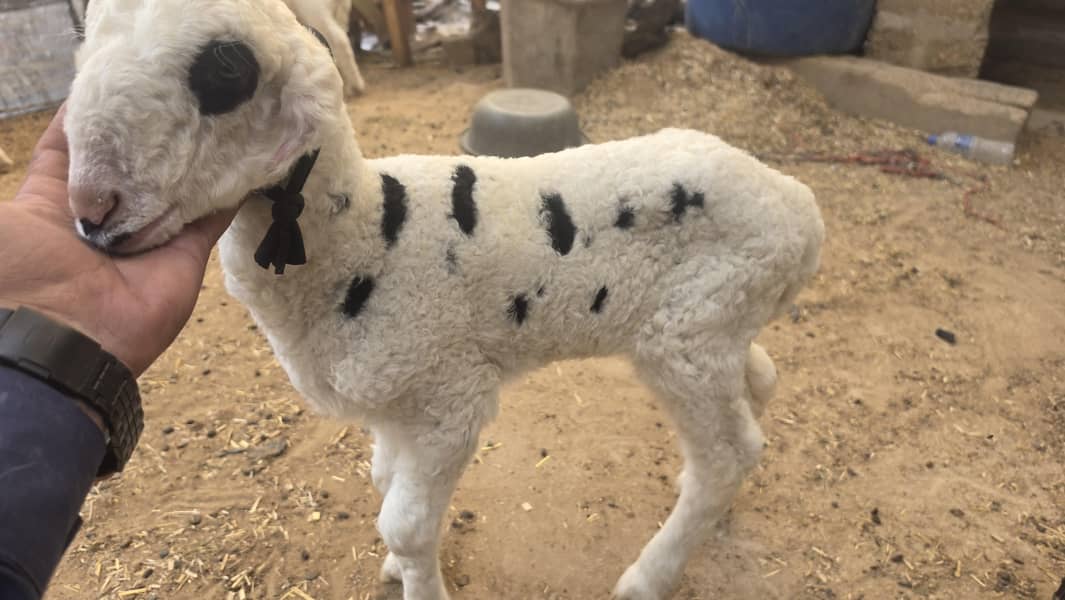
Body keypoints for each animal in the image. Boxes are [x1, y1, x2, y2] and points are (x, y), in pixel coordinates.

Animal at [63, 1, 824, 598]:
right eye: (87, 35)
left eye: (225, 69)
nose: (92, 211)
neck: (370, 237)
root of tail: (798, 207)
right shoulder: (394, 406)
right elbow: (383, 482)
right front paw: (398, 572)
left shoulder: (450, 398)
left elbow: (403, 524)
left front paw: (416, 581)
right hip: (712, 323)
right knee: (758, 384)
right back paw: (715, 517)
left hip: (687, 335)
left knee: (727, 453)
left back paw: (649, 574)